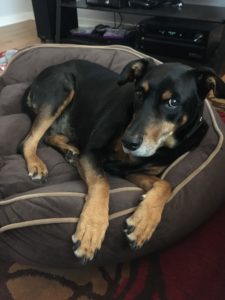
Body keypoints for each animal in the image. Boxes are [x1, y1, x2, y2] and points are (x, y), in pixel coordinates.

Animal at [20, 56, 225, 262]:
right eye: (139, 93)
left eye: (173, 102)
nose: (129, 142)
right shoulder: (92, 153)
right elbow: (102, 183)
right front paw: (91, 231)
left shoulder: (130, 171)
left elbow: (166, 184)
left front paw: (143, 223)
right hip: (62, 90)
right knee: (29, 140)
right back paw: (37, 164)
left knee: (48, 136)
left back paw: (69, 151)